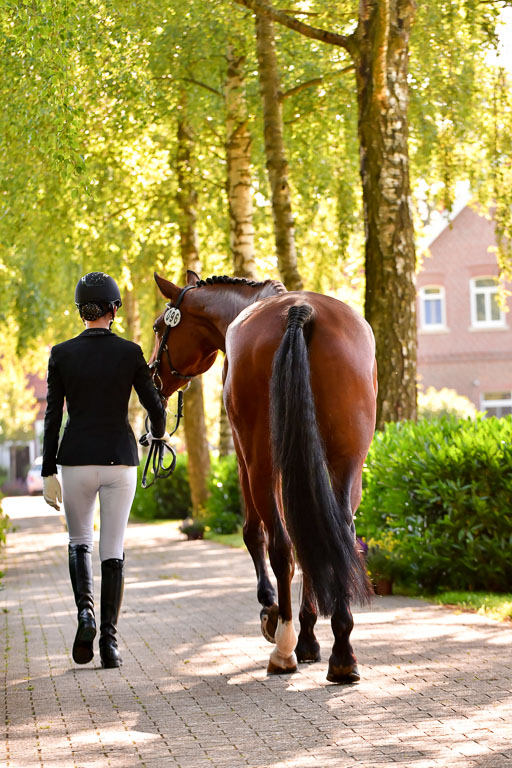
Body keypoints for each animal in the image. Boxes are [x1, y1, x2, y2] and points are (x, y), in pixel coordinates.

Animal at [149, 270, 377, 683]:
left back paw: (284, 646)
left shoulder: (244, 460)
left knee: (281, 546)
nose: (152, 376)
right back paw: (342, 652)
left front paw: (273, 613)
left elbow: (254, 534)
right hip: (347, 464)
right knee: (336, 535)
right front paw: (310, 638)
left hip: (260, 462)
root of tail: (301, 311)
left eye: (160, 326)